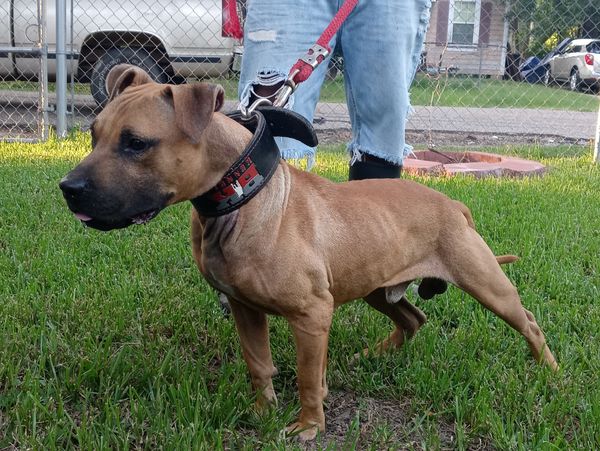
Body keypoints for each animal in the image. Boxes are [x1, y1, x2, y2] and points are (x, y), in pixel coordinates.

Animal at [59, 66, 556, 442]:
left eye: (136, 143)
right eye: (94, 135)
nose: (68, 188)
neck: (242, 197)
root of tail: (453, 204)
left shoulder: (312, 315)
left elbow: (305, 376)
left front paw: (308, 426)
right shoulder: (244, 307)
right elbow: (259, 364)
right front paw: (262, 411)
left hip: (486, 283)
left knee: (528, 322)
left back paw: (547, 372)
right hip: (377, 285)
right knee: (414, 318)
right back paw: (372, 356)